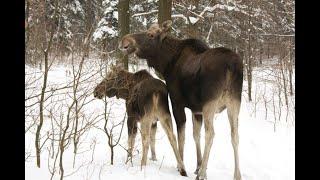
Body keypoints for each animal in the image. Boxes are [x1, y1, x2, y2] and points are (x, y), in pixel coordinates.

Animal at [119, 20, 244, 179]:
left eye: (151, 34)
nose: (125, 41)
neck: (166, 63)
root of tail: (232, 66)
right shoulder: (196, 110)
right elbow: (195, 135)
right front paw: (198, 166)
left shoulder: (177, 102)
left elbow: (181, 136)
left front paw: (182, 167)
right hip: (234, 102)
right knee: (235, 135)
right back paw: (236, 174)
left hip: (210, 103)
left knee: (211, 134)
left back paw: (202, 175)